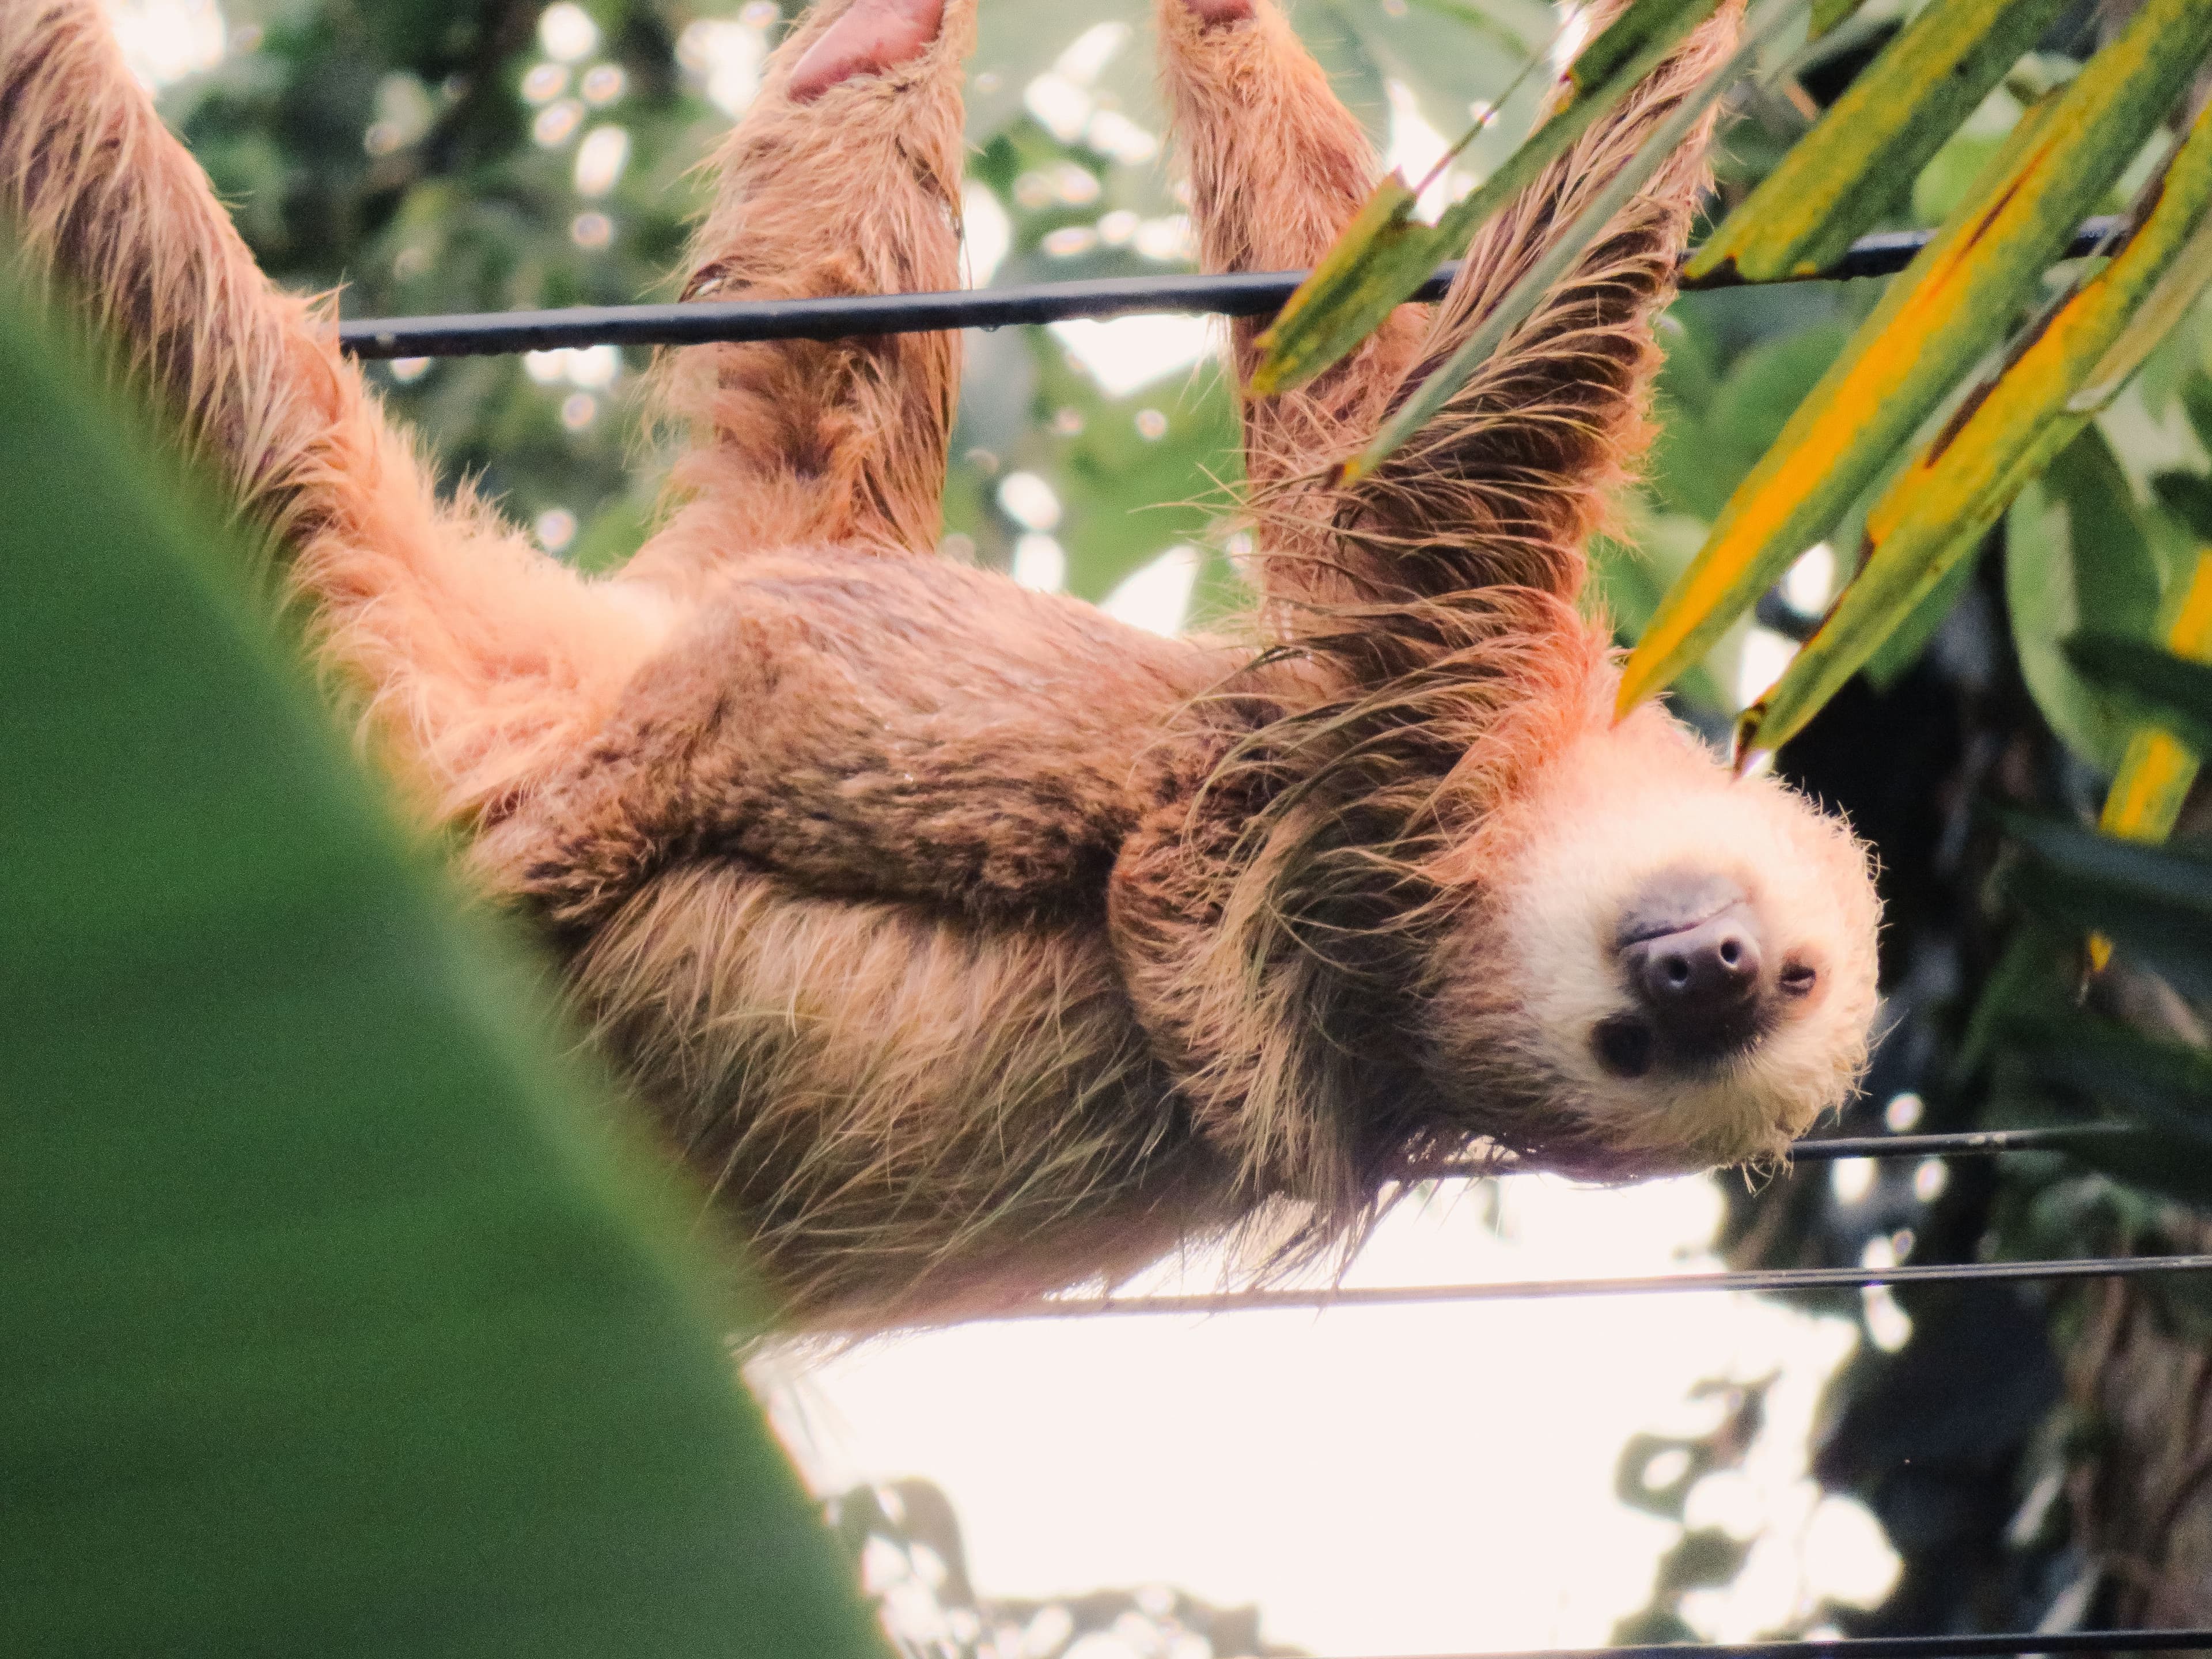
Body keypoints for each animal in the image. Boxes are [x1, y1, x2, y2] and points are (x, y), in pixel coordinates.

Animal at [0, 0, 1881, 1333]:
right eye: (1769, 972)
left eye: (1725, 1019)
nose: (1701, 969)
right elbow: (1369, 375)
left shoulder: (1393, 762)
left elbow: (1429, 433)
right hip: (695, 554)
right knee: (816, 403)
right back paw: (871, 39)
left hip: (347, 645)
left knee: (144, 257)